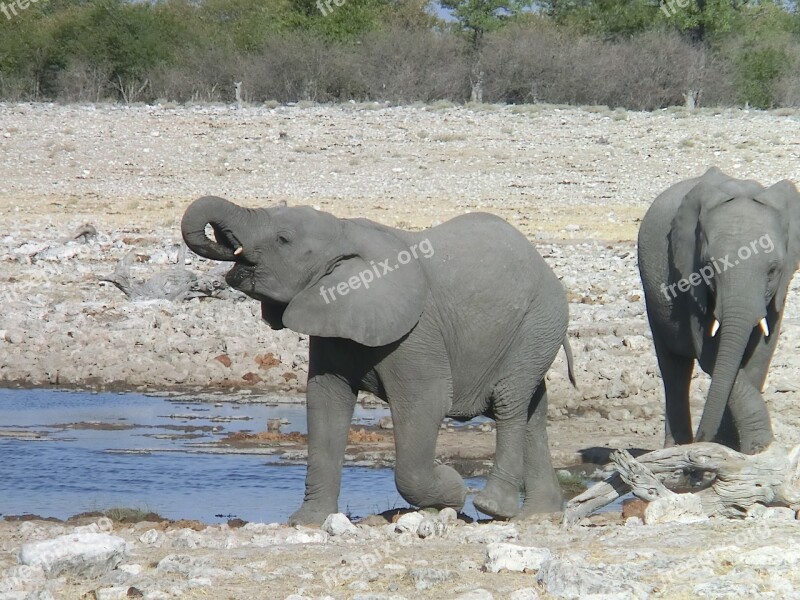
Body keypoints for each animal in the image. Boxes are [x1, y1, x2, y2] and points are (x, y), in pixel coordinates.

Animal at [183, 198, 576, 524]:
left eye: (283, 239)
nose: (224, 240)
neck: (344, 232)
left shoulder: (417, 333)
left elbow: (426, 404)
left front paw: (453, 490)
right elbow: (325, 403)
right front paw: (306, 523)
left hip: (537, 323)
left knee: (508, 401)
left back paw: (493, 507)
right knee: (533, 411)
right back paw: (542, 515)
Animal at [636, 166, 800, 452]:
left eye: (773, 271)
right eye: (709, 269)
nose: (704, 437)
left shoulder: (781, 288)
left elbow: (761, 354)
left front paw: (741, 448)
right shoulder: (689, 277)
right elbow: (709, 352)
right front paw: (755, 446)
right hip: (652, 291)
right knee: (674, 371)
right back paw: (676, 448)